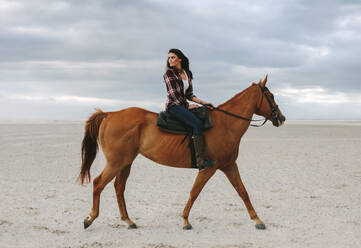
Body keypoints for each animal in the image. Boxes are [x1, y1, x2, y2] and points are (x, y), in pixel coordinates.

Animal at [78, 75, 284, 231]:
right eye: (271, 96)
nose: (281, 118)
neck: (225, 124)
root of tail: (109, 114)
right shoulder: (209, 168)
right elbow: (194, 192)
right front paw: (185, 220)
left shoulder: (229, 165)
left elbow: (243, 191)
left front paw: (257, 220)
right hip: (116, 162)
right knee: (98, 183)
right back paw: (90, 218)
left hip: (126, 162)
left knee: (119, 187)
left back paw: (128, 221)